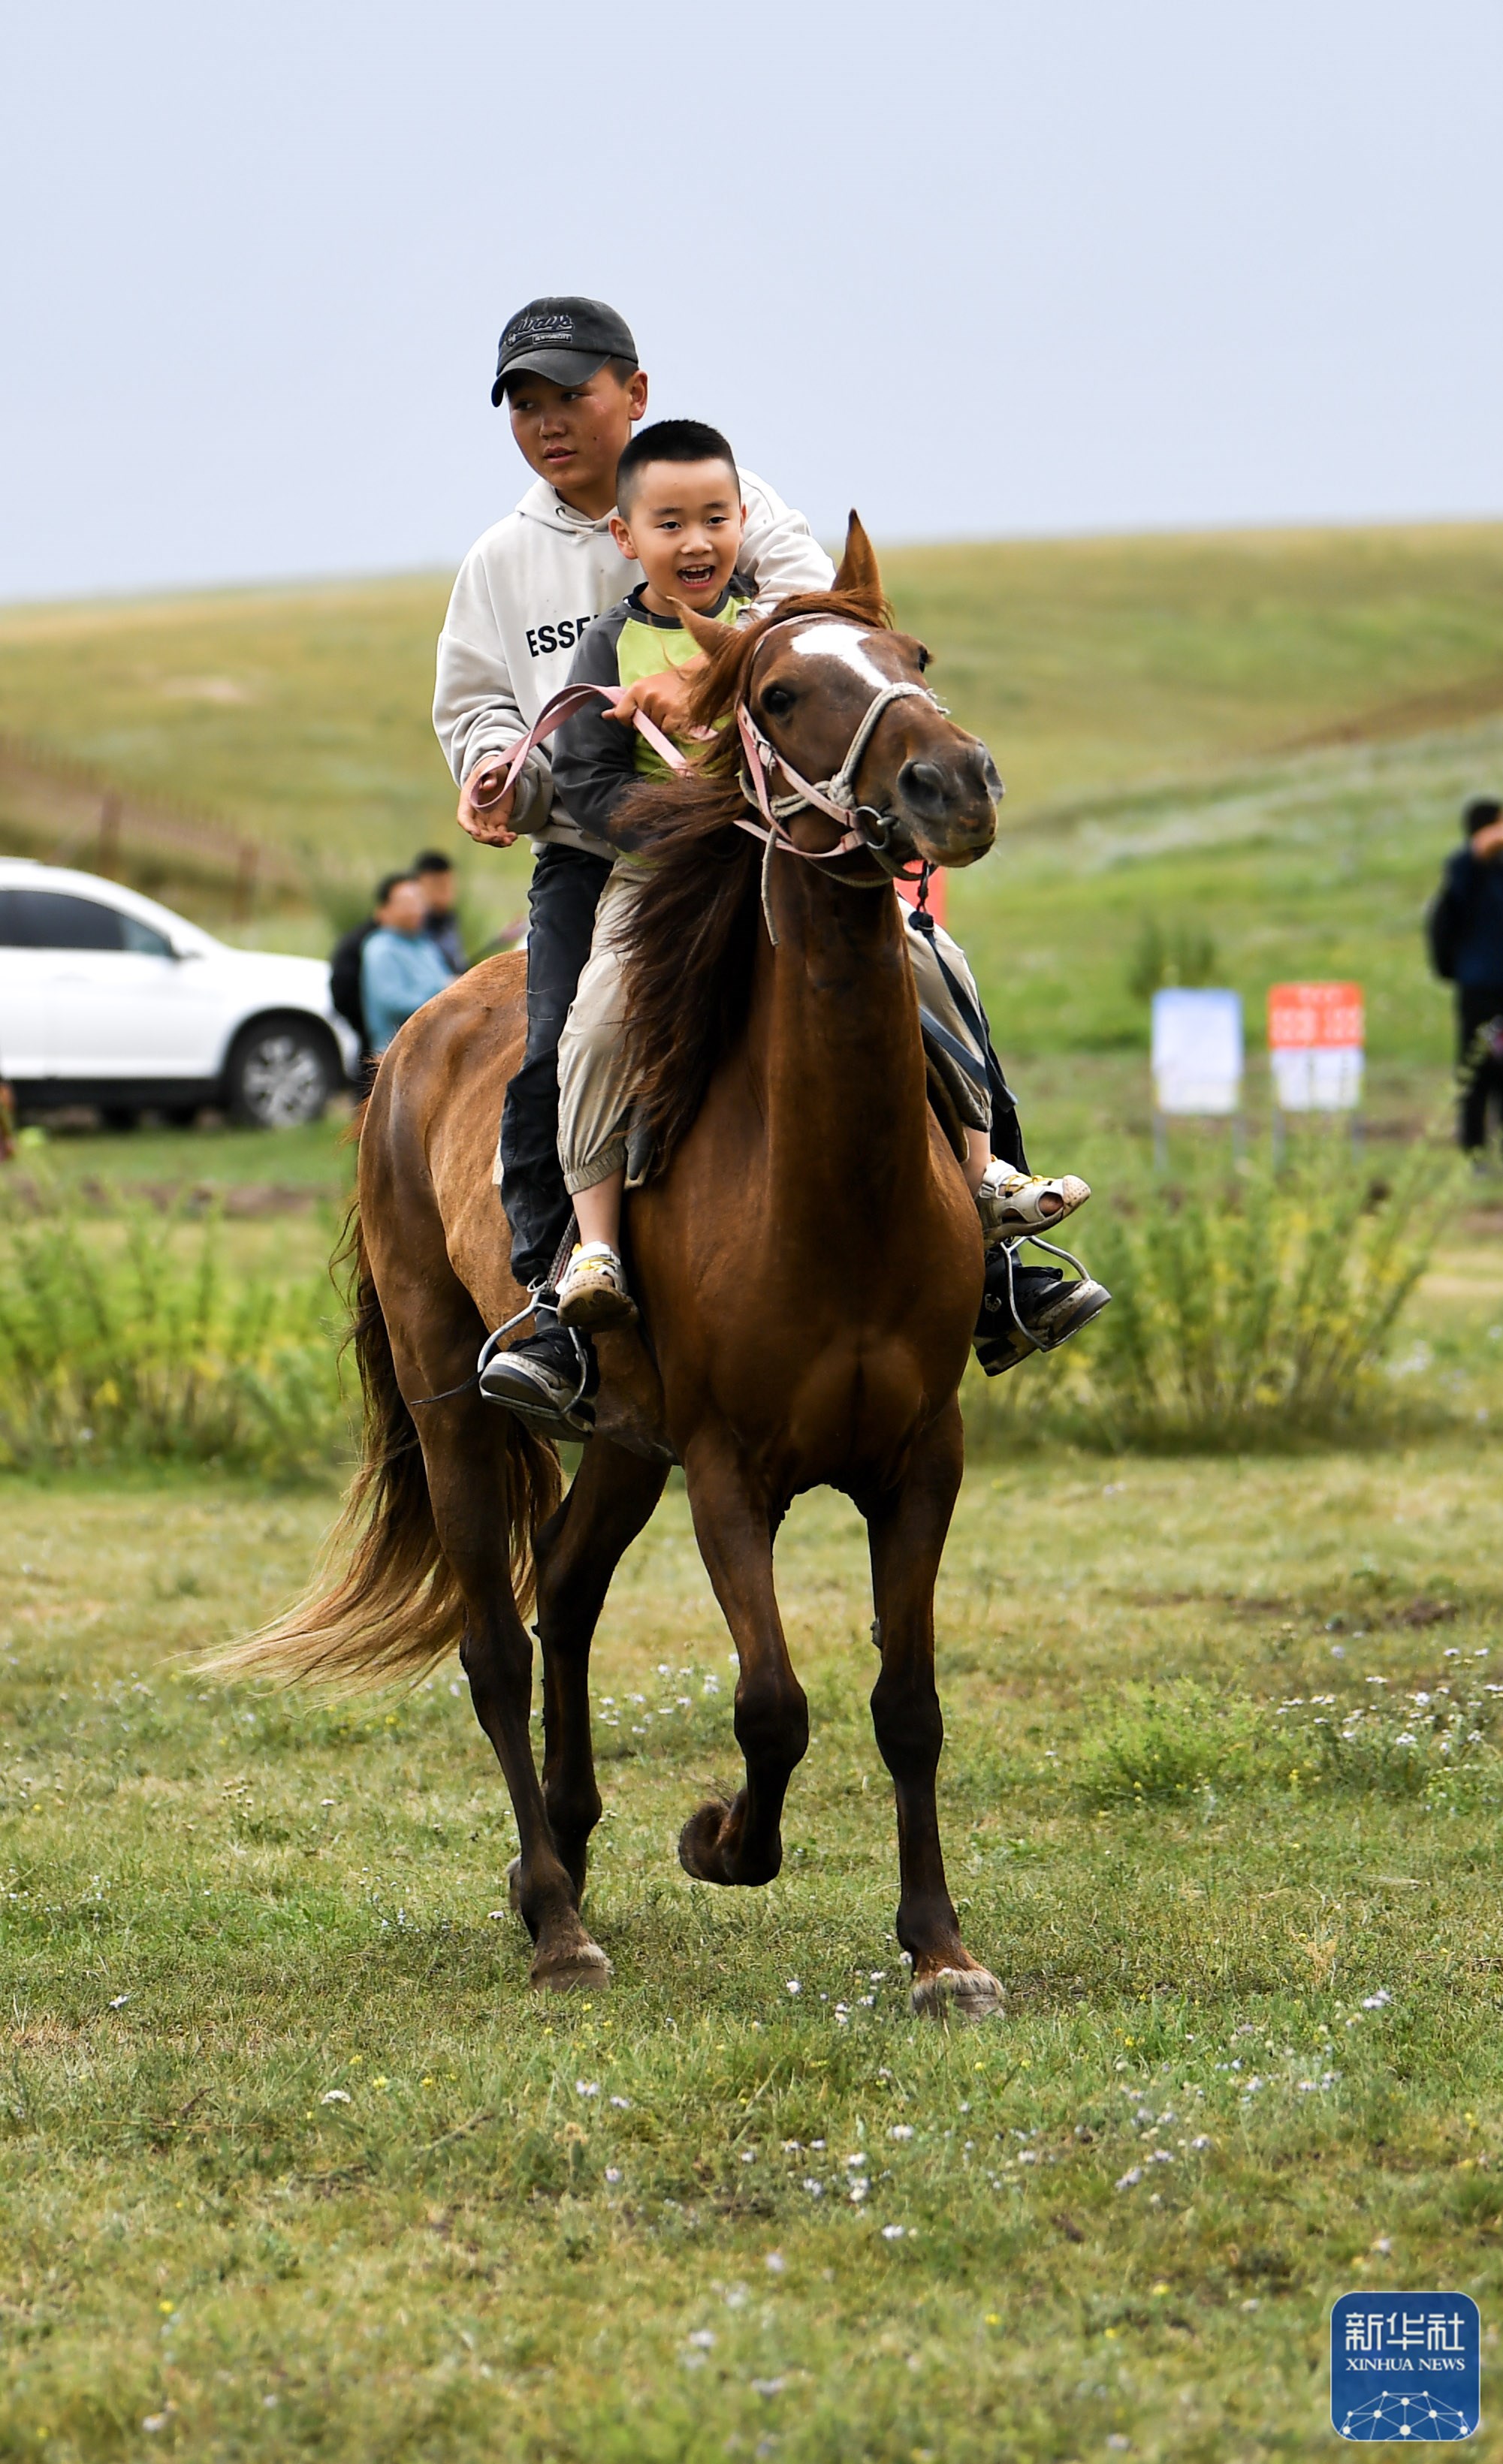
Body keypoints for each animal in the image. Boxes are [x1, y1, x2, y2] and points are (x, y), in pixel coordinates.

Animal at [219, 524, 1005, 2020]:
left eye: (916, 655)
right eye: (779, 696)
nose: (955, 781)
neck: (832, 1188)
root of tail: (405, 1047)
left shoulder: (920, 1457)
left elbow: (910, 1704)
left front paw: (940, 1949)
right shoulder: (729, 1470)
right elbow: (773, 1703)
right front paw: (722, 1842)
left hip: (627, 1444)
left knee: (566, 1595)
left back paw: (573, 1855)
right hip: (456, 1412)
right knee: (496, 1643)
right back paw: (552, 1917)